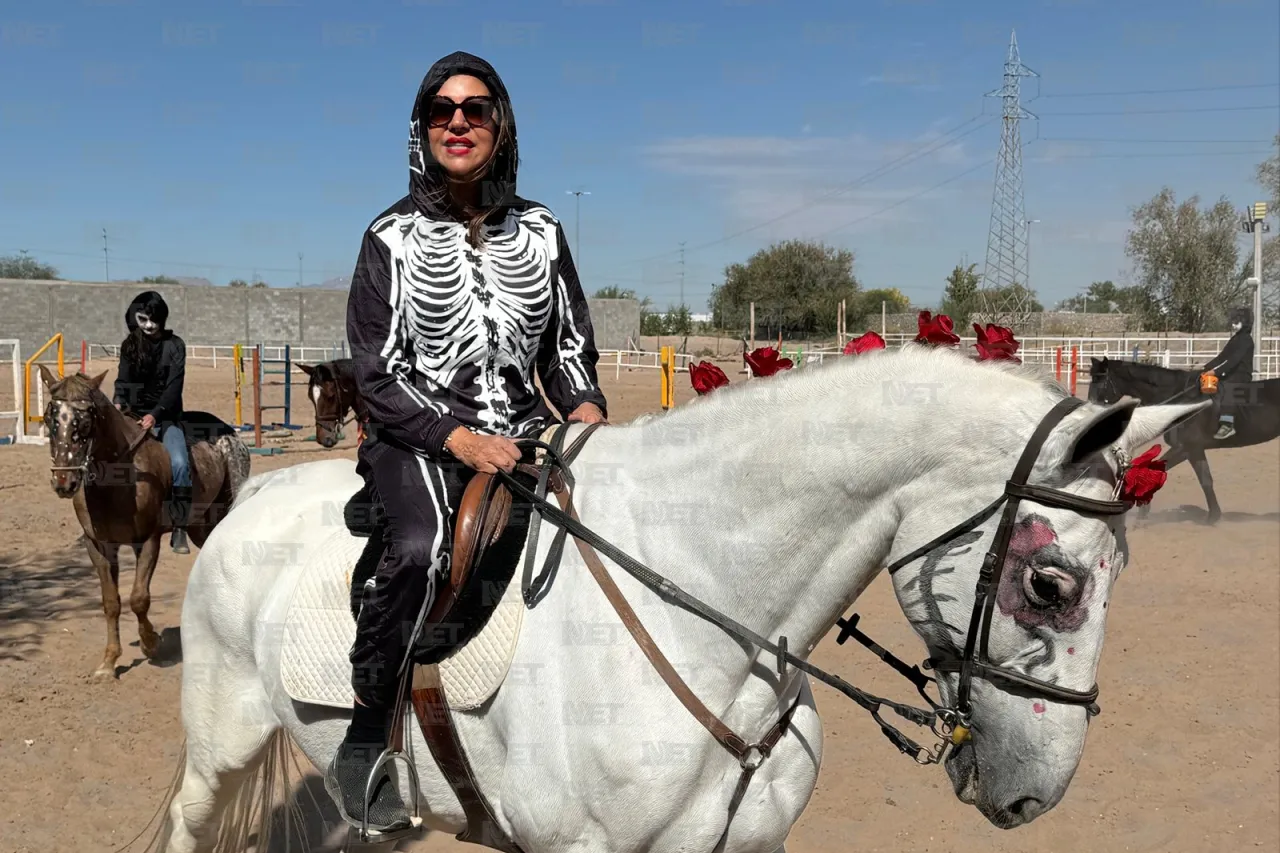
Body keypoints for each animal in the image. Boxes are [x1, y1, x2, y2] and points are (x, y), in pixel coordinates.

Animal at [38, 366, 249, 676]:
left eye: (87, 418)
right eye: (48, 416)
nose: (64, 481)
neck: (118, 479)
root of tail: (228, 434)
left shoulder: (147, 541)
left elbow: (139, 599)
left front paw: (151, 644)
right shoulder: (99, 546)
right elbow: (111, 601)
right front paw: (109, 661)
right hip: (201, 526)